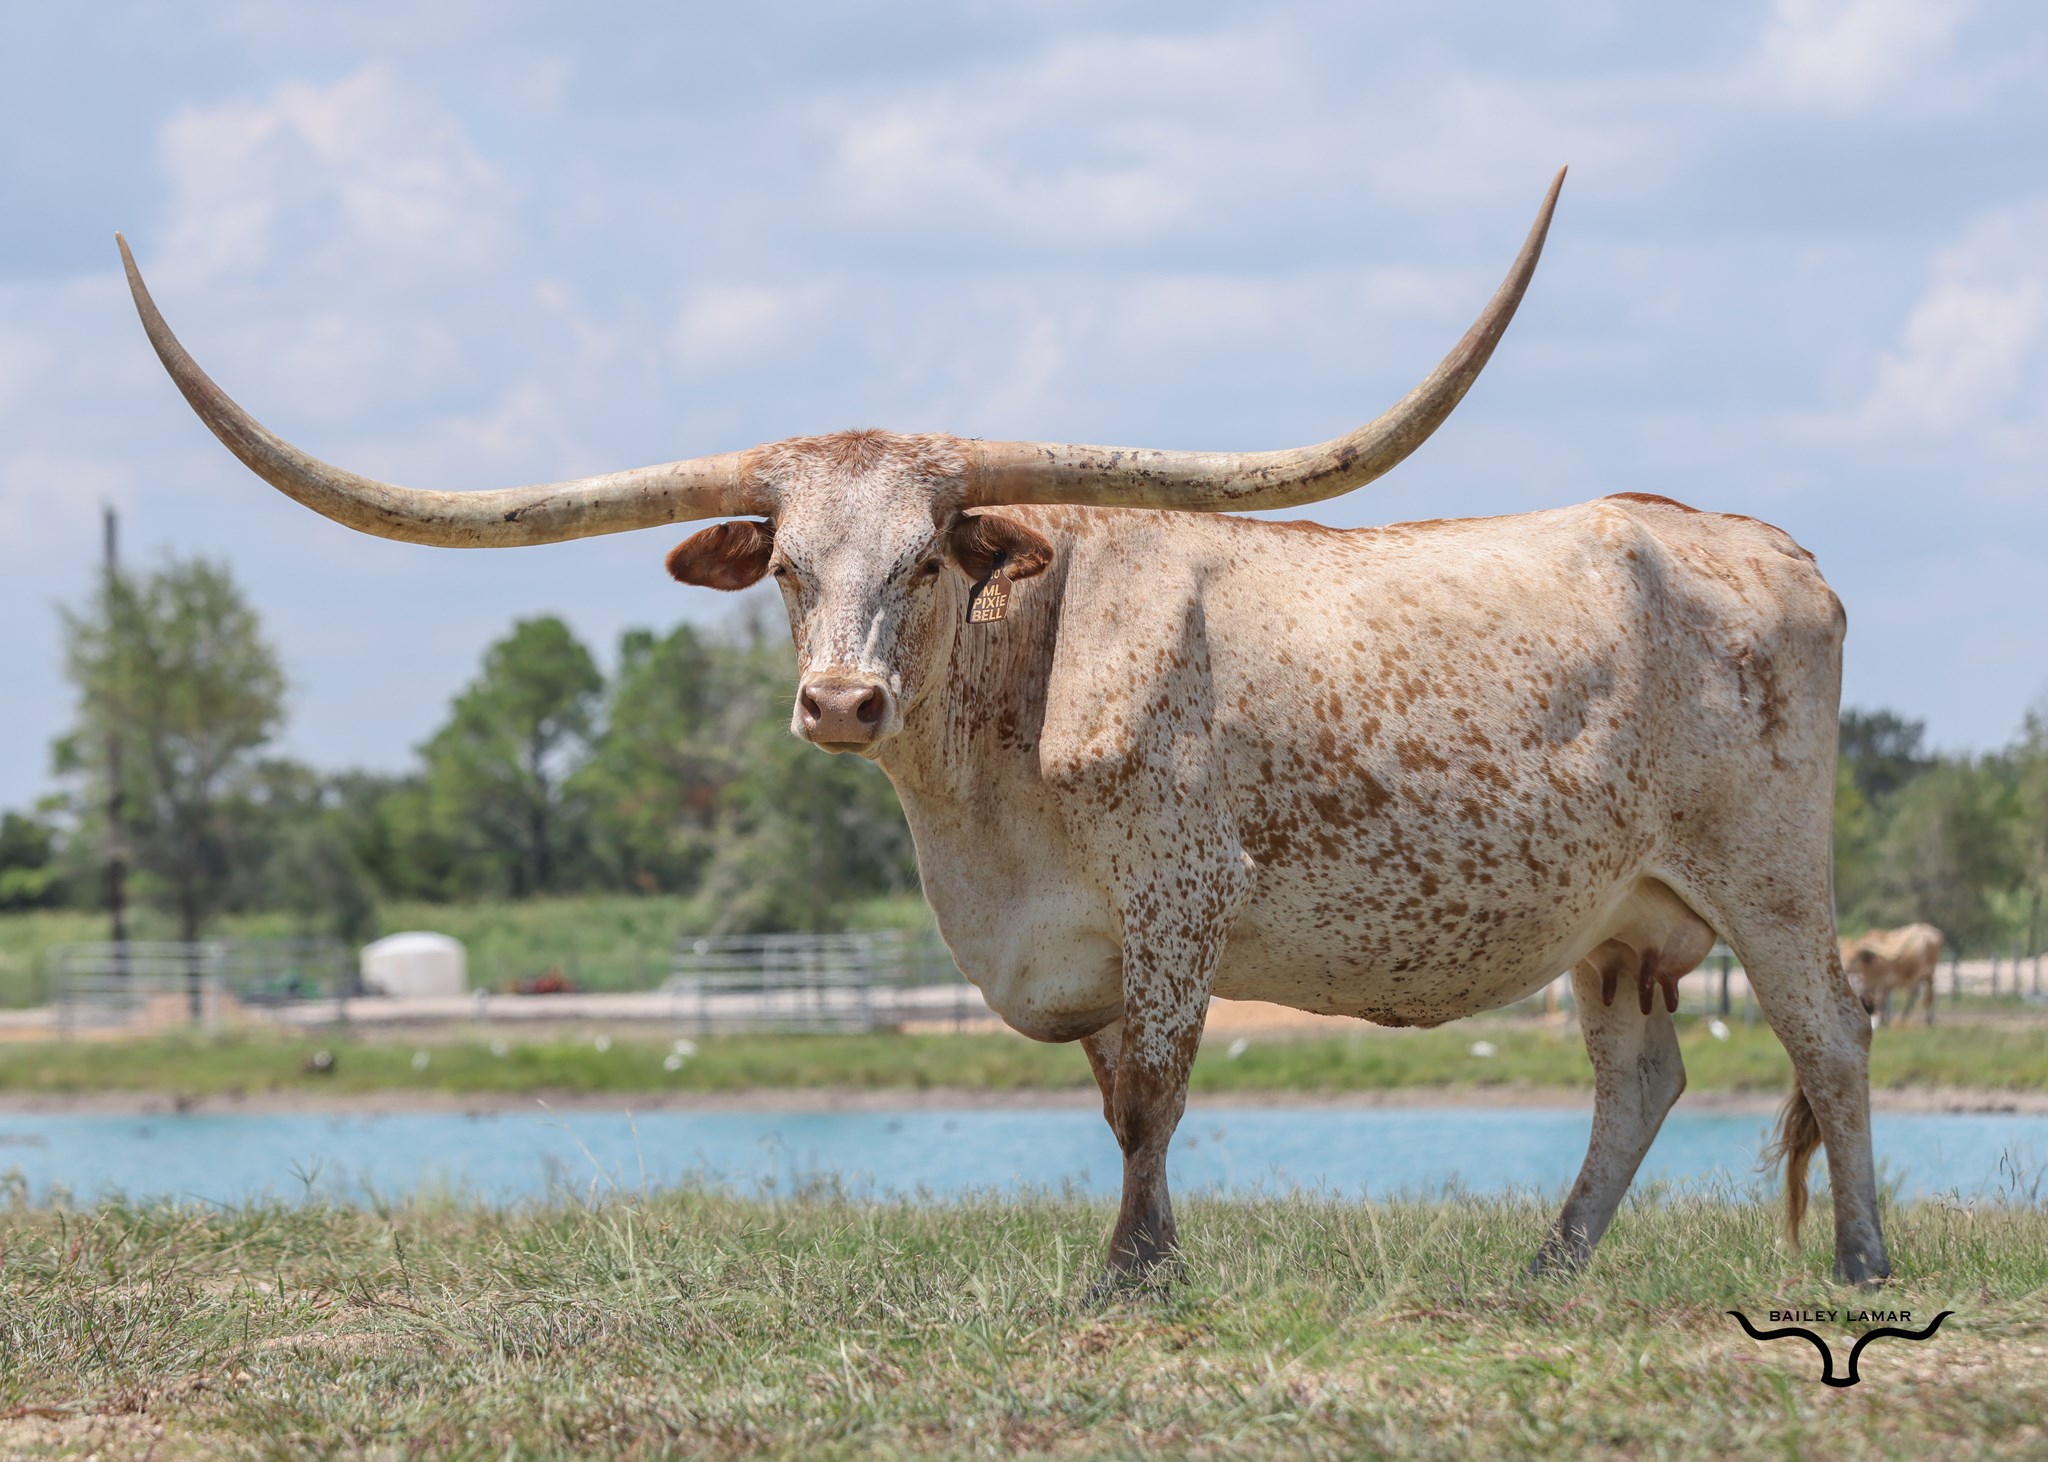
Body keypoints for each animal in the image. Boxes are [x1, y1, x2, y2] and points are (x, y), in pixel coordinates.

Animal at [116, 168, 1892, 1288]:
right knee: (1641, 1075)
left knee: (1832, 1039)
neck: (993, 777)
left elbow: (1154, 1093)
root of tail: (1767, 545)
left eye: (925, 560)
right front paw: (1150, 1257)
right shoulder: (1083, 939)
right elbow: (1115, 1101)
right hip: (1623, 918)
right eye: (791, 568)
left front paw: (1127, 1276)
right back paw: (1550, 1264)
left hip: (1771, 876)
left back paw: (1865, 1261)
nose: (841, 700)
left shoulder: (1177, 902)